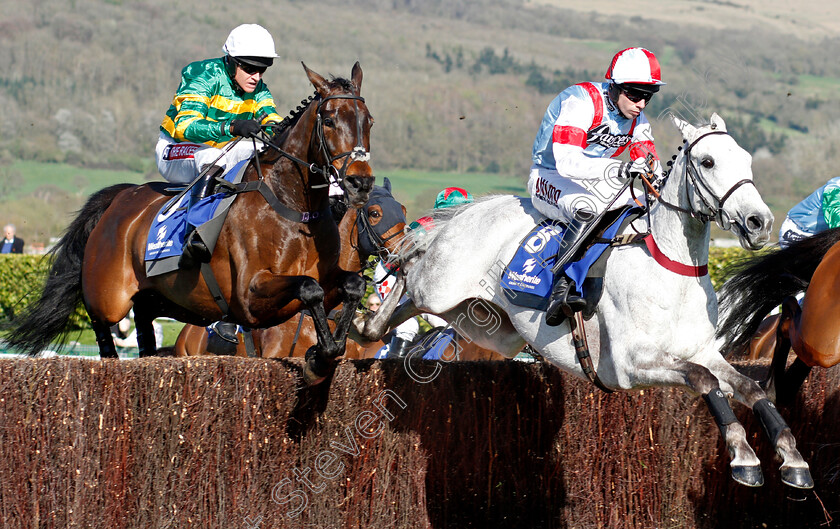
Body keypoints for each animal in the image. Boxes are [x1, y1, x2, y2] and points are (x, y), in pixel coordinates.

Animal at [354, 113, 812, 488]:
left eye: (747, 159)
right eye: (708, 162)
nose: (759, 222)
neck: (671, 269)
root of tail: (471, 210)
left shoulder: (700, 350)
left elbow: (750, 387)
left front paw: (792, 459)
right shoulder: (631, 364)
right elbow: (705, 381)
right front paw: (744, 456)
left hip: (487, 326)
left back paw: (374, 328)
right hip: (439, 285)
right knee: (409, 267)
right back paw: (368, 320)